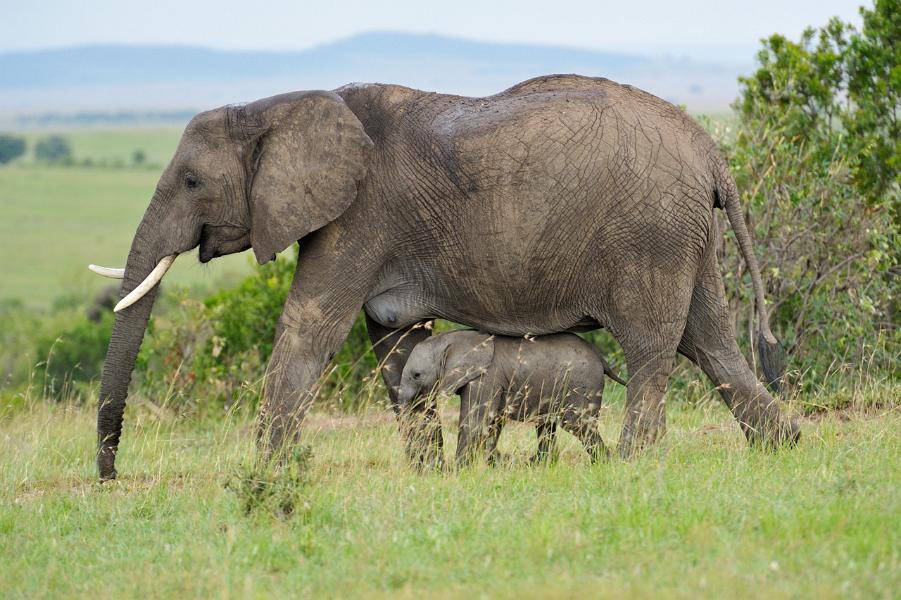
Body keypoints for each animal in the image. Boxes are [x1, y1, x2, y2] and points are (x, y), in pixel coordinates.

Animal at [396, 332, 624, 464]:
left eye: (416, 375)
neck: (451, 341)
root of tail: (601, 358)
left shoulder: (486, 377)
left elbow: (476, 423)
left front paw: (461, 470)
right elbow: (492, 424)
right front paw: (494, 463)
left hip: (580, 384)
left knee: (577, 424)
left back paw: (603, 464)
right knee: (546, 426)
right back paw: (538, 465)